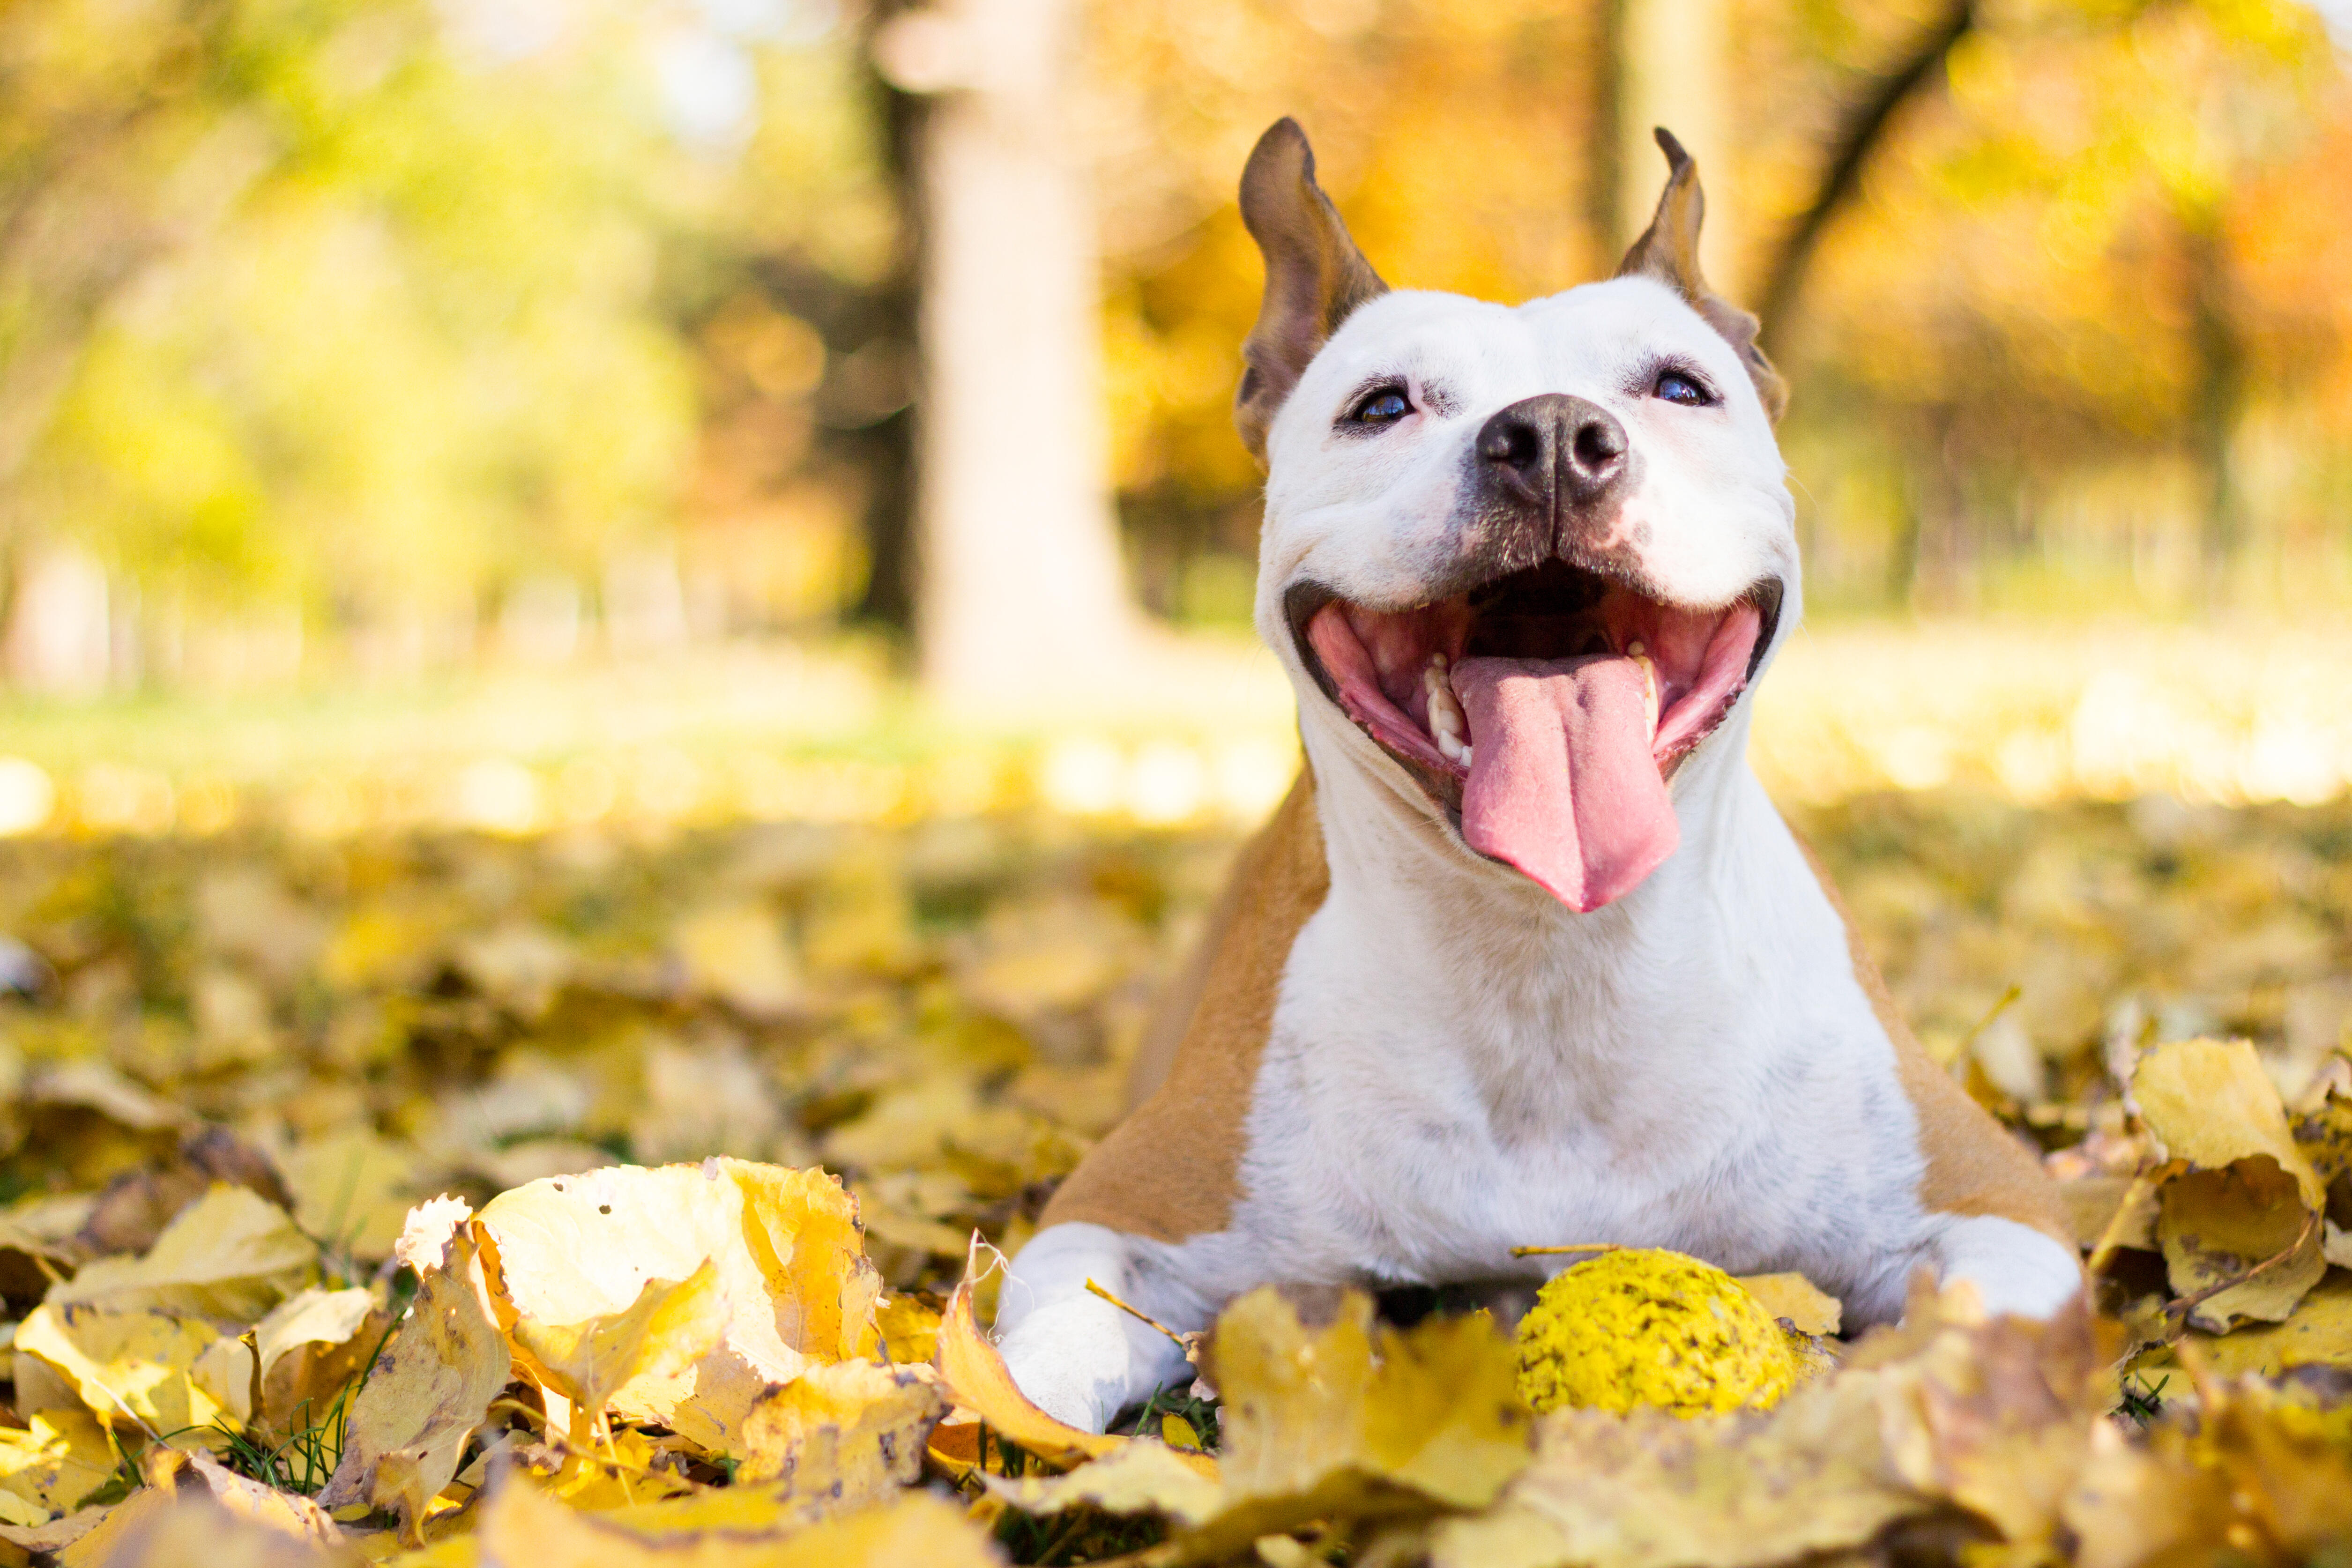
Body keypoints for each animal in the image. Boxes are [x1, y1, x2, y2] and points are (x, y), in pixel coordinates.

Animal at [992, 119, 2079, 1439]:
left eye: (1678, 386)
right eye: (1380, 405)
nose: (1552, 434)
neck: (1550, 957)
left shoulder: (1999, 1207)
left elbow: (1969, 1340)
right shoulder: (1113, 1217)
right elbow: (1022, 1371)